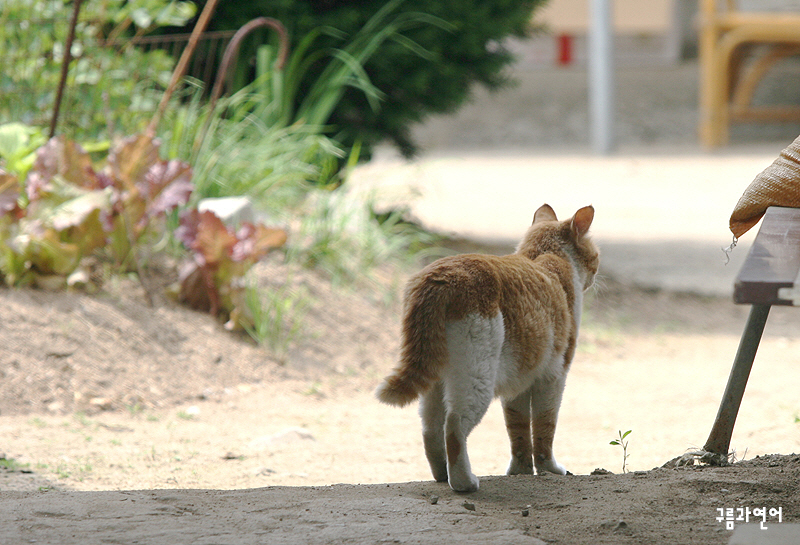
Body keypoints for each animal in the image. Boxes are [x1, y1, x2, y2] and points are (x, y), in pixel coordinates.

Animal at [378, 204, 596, 492]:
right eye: (596, 256)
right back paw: (464, 482)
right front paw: (549, 469)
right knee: (454, 427)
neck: (544, 255)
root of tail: (438, 276)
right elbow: (545, 426)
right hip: (478, 377)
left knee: (430, 428)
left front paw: (520, 471)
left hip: (436, 380)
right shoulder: (554, 376)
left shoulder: (518, 379)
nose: (596, 273)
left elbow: (517, 429)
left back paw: (442, 474)